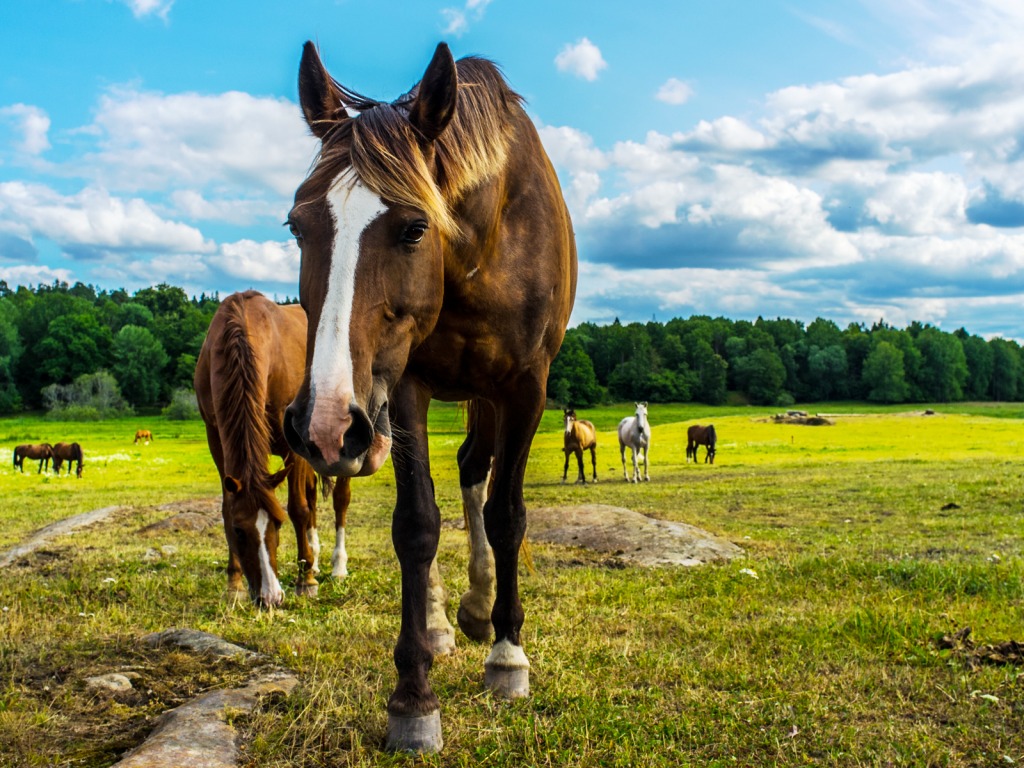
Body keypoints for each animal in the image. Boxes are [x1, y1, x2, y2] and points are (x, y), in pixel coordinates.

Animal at [193, 290, 354, 610]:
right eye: (239, 530)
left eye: (277, 525)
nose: (270, 597)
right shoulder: (216, 438)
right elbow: (227, 506)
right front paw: (234, 584)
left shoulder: (296, 445)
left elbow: (298, 508)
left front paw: (306, 582)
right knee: (313, 496)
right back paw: (315, 560)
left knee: (339, 498)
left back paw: (337, 567)